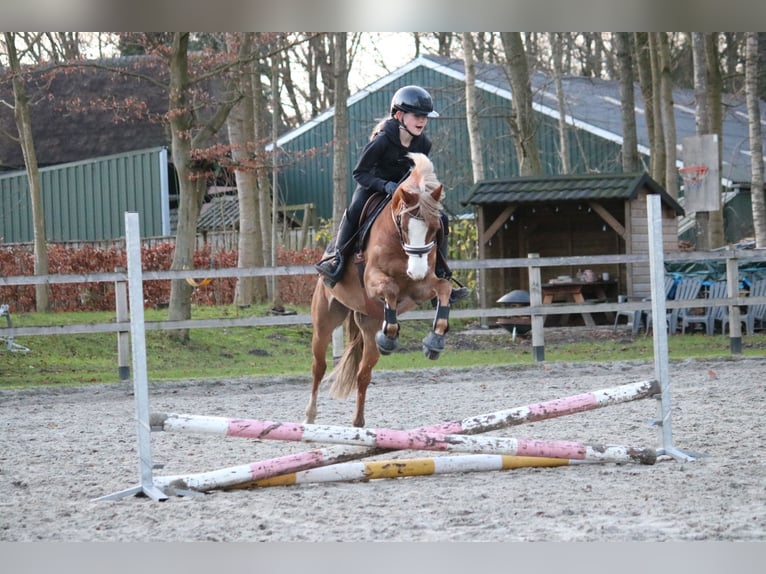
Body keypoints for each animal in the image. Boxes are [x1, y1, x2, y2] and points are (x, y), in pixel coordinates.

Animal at [304, 153, 452, 428]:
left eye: (436, 228)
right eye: (403, 224)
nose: (415, 270)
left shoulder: (421, 287)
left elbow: (444, 289)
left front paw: (434, 342)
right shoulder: (375, 282)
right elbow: (390, 289)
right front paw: (391, 336)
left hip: (368, 327)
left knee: (363, 374)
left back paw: (358, 423)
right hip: (325, 320)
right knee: (318, 367)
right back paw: (309, 417)